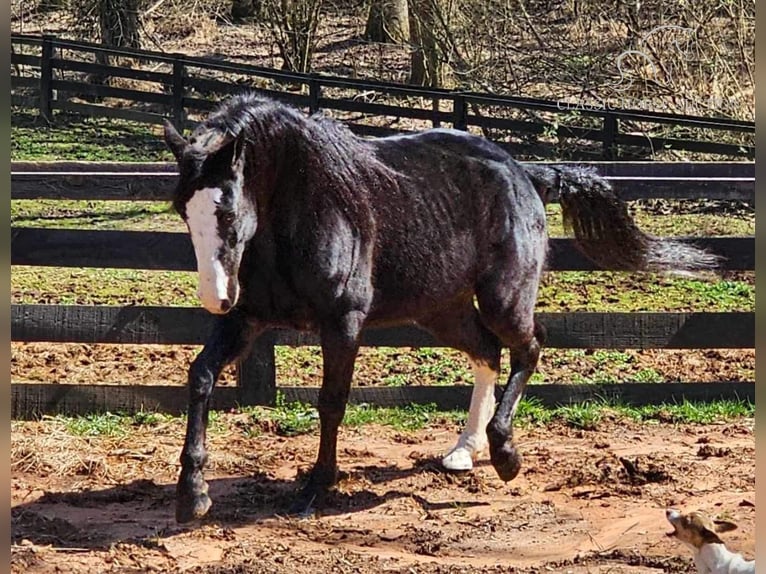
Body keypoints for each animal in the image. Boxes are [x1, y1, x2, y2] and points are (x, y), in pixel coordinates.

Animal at [162, 94, 720, 528]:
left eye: (227, 209)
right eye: (183, 209)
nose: (215, 296)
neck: (303, 206)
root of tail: (525, 172)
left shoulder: (342, 324)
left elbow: (331, 402)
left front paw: (316, 490)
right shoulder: (246, 321)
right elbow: (201, 377)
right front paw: (193, 495)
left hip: (502, 298)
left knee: (528, 347)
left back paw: (504, 454)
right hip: (441, 310)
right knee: (488, 352)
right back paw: (464, 450)